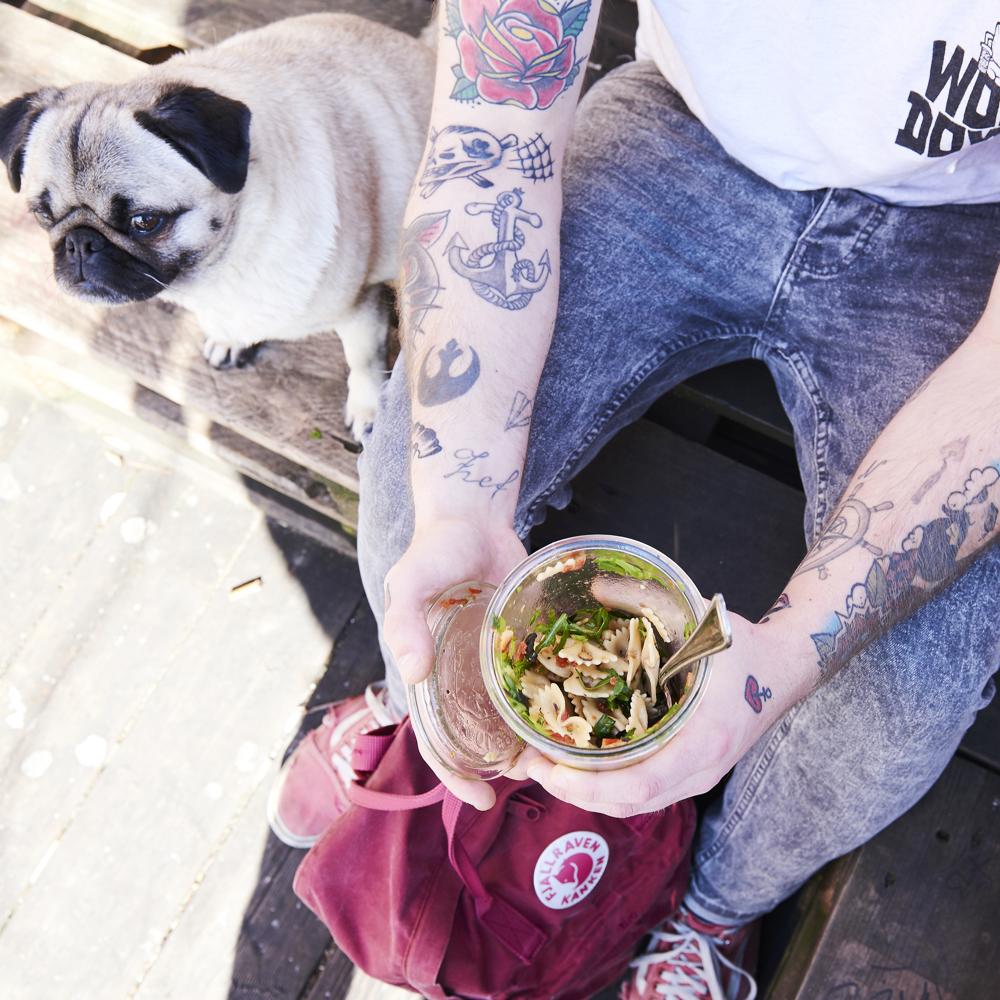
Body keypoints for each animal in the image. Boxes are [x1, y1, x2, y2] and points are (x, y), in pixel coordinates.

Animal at [0, 14, 438, 438]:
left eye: (145, 222)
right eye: (43, 215)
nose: (79, 244)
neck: (220, 266)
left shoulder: (358, 310)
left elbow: (362, 361)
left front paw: (369, 409)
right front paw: (229, 339)